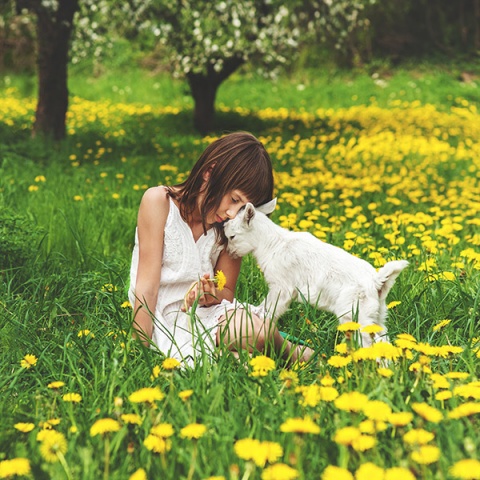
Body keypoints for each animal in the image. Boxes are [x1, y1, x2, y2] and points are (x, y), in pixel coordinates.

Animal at [225, 201, 408, 346]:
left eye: (232, 236)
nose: (230, 253)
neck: (273, 244)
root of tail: (377, 281)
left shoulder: (281, 287)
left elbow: (270, 308)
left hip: (355, 314)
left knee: (373, 340)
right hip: (377, 314)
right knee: (384, 338)